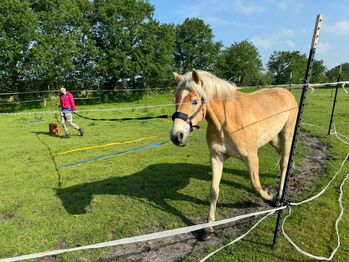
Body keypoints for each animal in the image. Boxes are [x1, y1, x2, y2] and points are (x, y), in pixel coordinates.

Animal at [169, 69, 296, 237]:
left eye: (194, 101)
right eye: (175, 100)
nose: (177, 136)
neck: (227, 121)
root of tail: (287, 93)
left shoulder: (251, 157)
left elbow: (256, 185)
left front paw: (269, 196)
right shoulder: (216, 157)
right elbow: (214, 190)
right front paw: (208, 227)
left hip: (287, 133)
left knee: (284, 162)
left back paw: (279, 197)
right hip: (273, 138)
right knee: (283, 157)